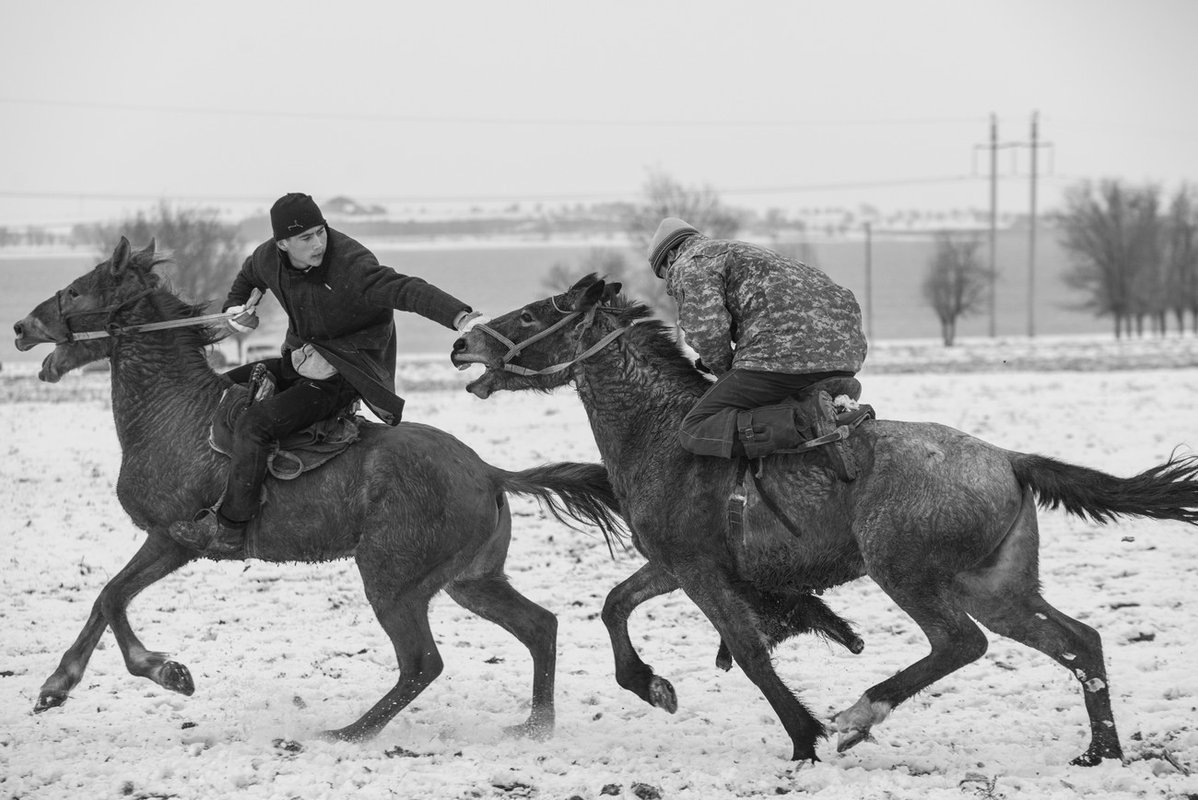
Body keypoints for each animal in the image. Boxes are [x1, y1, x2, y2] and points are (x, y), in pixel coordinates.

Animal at [14, 239, 622, 742]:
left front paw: (167, 672)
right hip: (471, 582)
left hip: (393, 582)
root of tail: (489, 471)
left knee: (422, 664)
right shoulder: (167, 543)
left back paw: (349, 733)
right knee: (539, 627)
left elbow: (113, 598)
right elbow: (105, 598)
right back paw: (535, 727)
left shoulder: (175, 539)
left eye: (75, 290)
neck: (174, 413)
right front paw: (56, 685)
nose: (20, 327)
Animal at [450, 276, 1198, 766]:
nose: (462, 346)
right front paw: (652, 686)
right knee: (1078, 642)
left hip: (911, 575)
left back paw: (858, 716)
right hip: (997, 586)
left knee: (962, 643)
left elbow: (750, 652)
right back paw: (1100, 753)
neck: (662, 432)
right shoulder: (674, 564)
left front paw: (804, 737)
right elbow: (613, 605)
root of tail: (1009, 460)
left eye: (533, 316)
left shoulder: (699, 571)